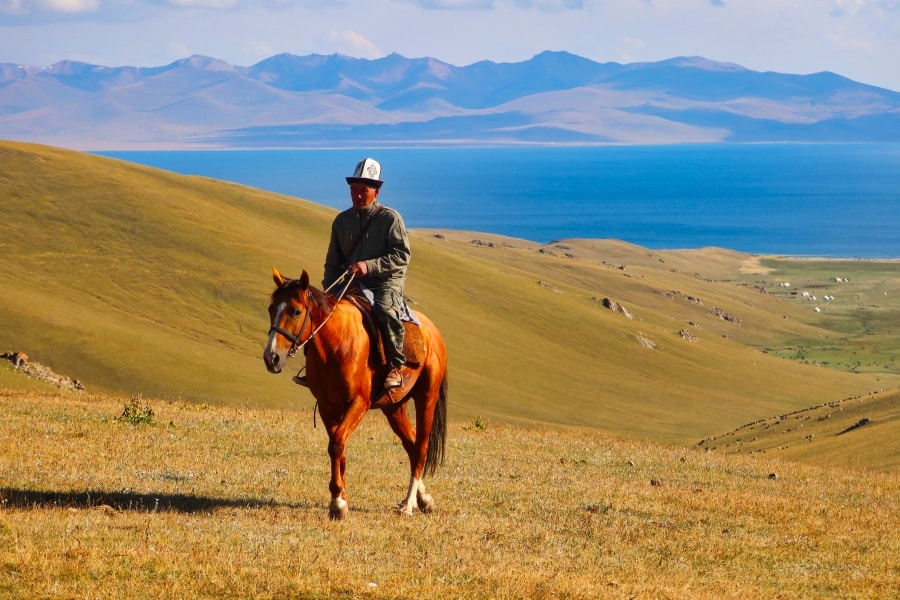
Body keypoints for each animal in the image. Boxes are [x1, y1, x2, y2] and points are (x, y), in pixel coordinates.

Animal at [262, 264, 448, 516]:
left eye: (296, 312)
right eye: (271, 309)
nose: (271, 358)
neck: (337, 345)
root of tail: (433, 332)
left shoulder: (358, 403)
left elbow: (337, 443)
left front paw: (338, 503)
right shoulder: (327, 407)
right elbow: (338, 448)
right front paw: (341, 497)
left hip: (427, 397)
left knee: (420, 447)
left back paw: (409, 504)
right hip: (394, 407)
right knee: (411, 443)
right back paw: (424, 499)